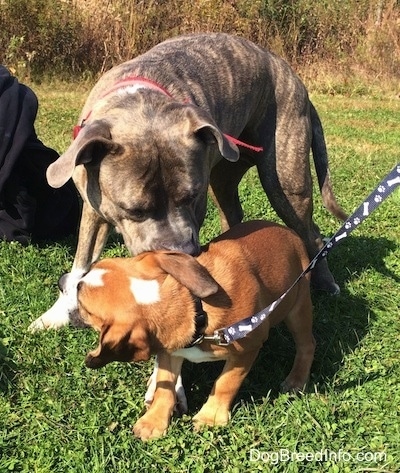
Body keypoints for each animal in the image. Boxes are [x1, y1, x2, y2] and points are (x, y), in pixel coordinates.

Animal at [75, 220, 314, 438]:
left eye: (85, 307)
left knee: (307, 345)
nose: (70, 283)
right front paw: (154, 421)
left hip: (298, 309)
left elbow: (226, 383)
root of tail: (290, 232)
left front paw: (211, 417)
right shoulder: (169, 351)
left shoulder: (248, 349)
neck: (194, 307)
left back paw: (296, 380)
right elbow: (164, 387)